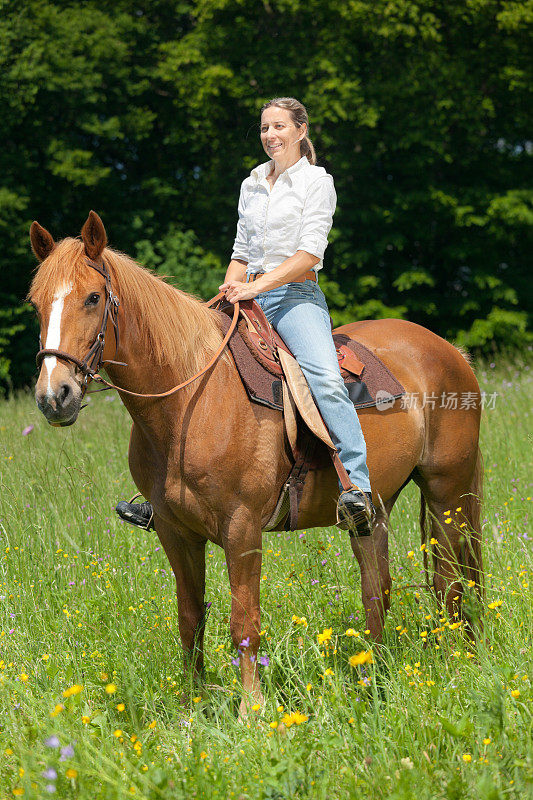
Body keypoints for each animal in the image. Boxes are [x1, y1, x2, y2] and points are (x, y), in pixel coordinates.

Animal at [31, 212, 484, 712]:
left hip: (447, 492)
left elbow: (243, 620)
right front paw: (194, 707)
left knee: (450, 581)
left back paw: (458, 661)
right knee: (377, 590)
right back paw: (376, 679)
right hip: (375, 510)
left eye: (93, 298)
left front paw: (253, 711)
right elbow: (190, 617)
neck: (191, 399)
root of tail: (450, 351)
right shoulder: (174, 531)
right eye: (36, 304)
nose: (54, 397)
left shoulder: (242, 527)